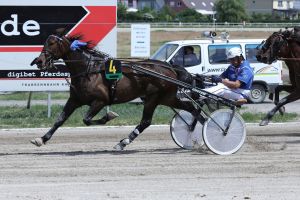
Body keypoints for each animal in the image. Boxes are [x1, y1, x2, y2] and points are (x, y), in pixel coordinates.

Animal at [30, 29, 204, 150]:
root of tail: (169, 66)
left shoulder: (100, 100)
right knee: (193, 109)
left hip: (153, 98)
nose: (39, 61)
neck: (89, 70)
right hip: (167, 98)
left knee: (146, 121)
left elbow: (87, 119)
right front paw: (41, 139)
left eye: (52, 43)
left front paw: (109, 116)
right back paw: (198, 131)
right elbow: (60, 119)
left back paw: (123, 142)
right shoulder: (74, 99)